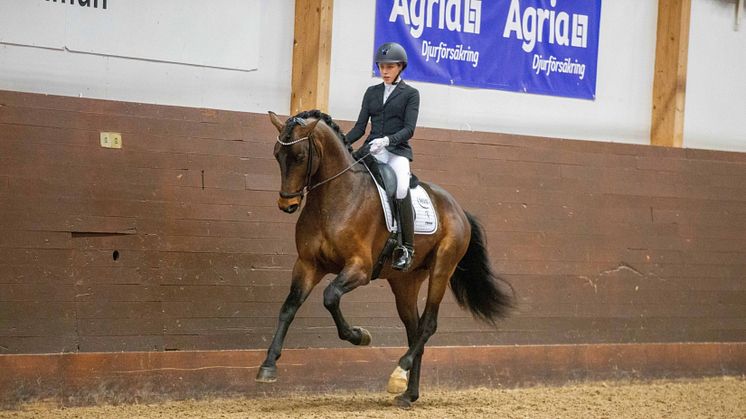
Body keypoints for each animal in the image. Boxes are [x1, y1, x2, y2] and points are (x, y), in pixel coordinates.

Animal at [256, 110, 512, 408]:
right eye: (277, 155)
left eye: (298, 156)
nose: (287, 205)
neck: (334, 198)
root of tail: (458, 209)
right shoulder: (308, 265)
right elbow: (289, 307)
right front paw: (268, 365)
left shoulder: (359, 268)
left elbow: (330, 297)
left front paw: (359, 336)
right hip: (405, 281)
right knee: (414, 328)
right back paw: (408, 393)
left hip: (441, 269)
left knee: (428, 324)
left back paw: (399, 371)